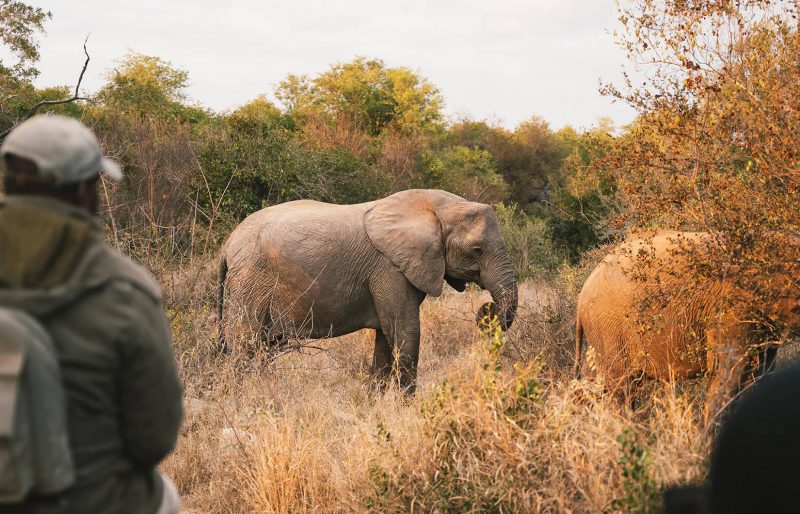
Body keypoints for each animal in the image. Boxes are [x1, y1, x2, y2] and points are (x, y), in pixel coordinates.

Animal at [217, 189, 520, 392]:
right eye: (477, 251)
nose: (486, 310)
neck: (435, 209)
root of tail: (228, 242)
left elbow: (386, 338)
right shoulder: (389, 268)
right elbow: (406, 331)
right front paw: (405, 410)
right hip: (251, 280)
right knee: (245, 343)